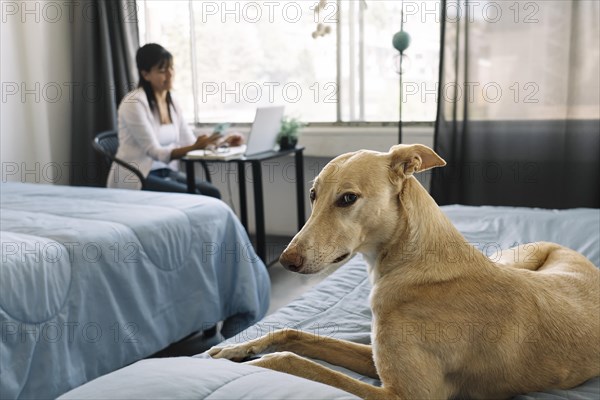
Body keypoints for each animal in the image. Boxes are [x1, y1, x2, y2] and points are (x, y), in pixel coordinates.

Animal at [209, 145, 596, 398]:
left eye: (347, 198)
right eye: (312, 194)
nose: (287, 261)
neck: (413, 266)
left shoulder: (404, 395)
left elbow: (295, 362)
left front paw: (255, 364)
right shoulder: (374, 358)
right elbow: (292, 333)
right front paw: (234, 351)